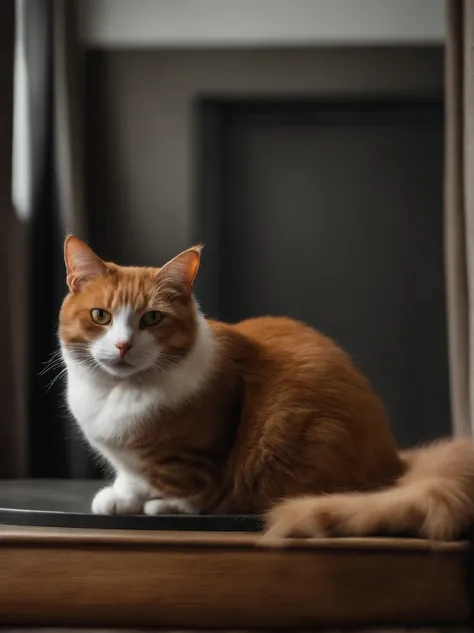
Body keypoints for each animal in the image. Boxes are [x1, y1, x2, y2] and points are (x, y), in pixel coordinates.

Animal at [59, 235, 474, 540]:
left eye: (152, 319)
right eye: (101, 316)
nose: (123, 345)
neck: (119, 392)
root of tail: (397, 465)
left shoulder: (200, 454)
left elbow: (190, 489)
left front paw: (161, 504)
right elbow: (132, 476)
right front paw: (122, 496)